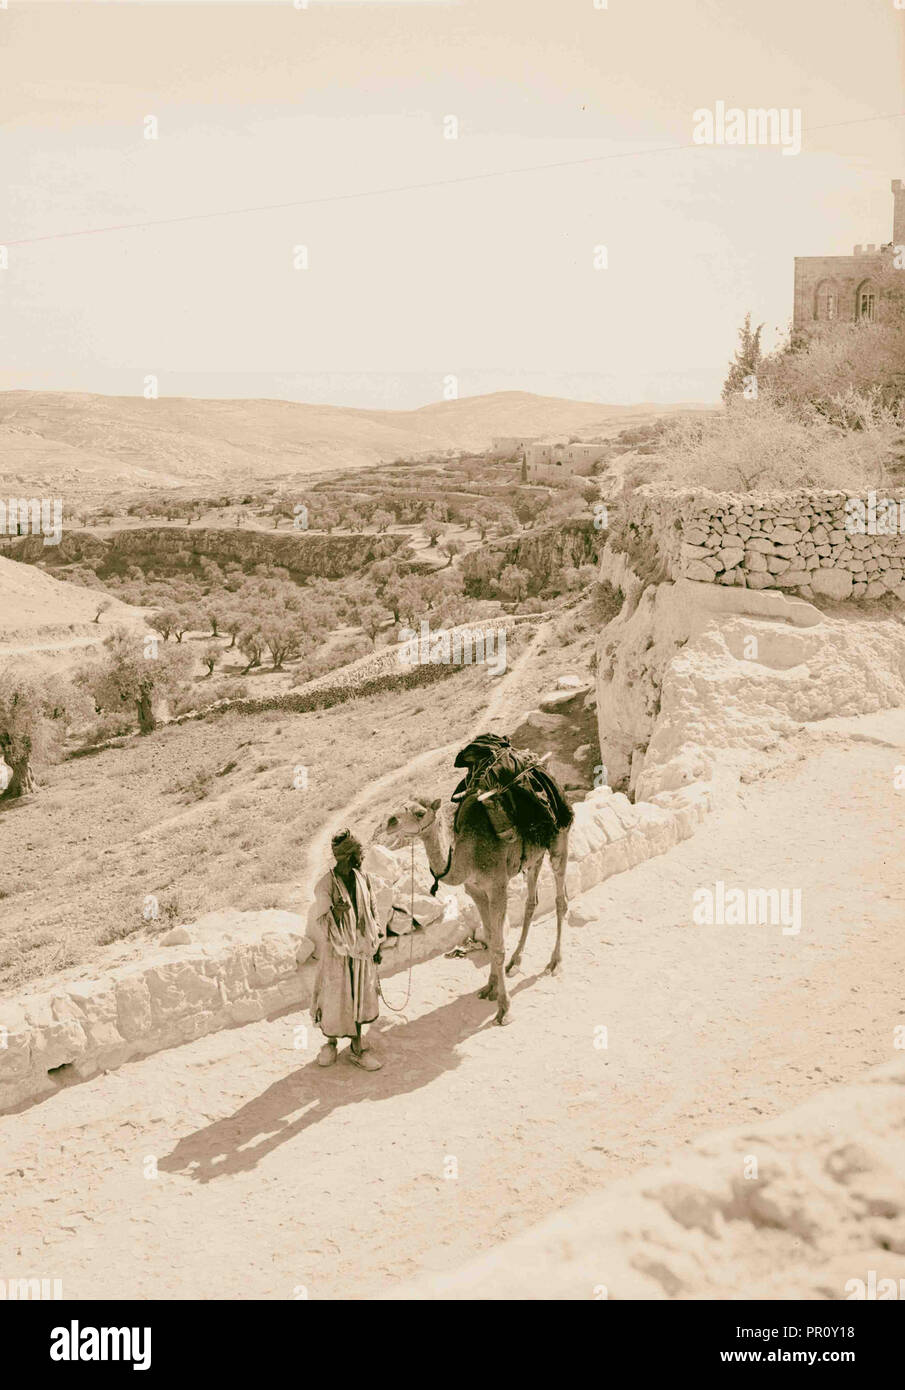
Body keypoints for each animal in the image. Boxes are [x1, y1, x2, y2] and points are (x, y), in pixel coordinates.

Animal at [380, 789, 567, 1028]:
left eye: (420, 813)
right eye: (399, 805)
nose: (390, 822)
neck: (468, 857)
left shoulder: (497, 887)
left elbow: (498, 946)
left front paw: (504, 1009)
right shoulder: (476, 890)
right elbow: (490, 937)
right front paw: (490, 987)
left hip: (559, 841)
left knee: (561, 900)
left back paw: (555, 962)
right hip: (534, 857)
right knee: (531, 902)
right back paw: (515, 962)